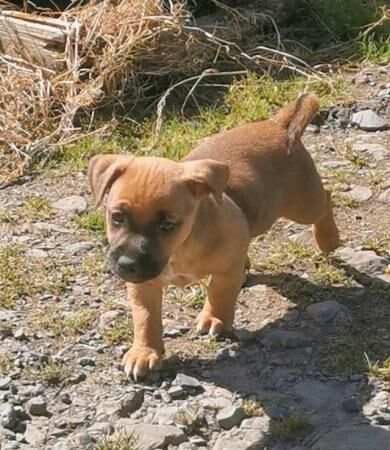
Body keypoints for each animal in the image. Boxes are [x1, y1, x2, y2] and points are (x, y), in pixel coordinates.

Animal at [87, 94, 338, 380]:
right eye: (117, 217)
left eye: (167, 225)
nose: (127, 265)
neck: (180, 249)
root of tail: (280, 125)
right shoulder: (143, 285)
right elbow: (145, 318)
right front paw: (144, 352)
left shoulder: (224, 271)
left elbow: (219, 293)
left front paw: (214, 318)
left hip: (303, 204)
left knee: (326, 199)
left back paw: (329, 239)